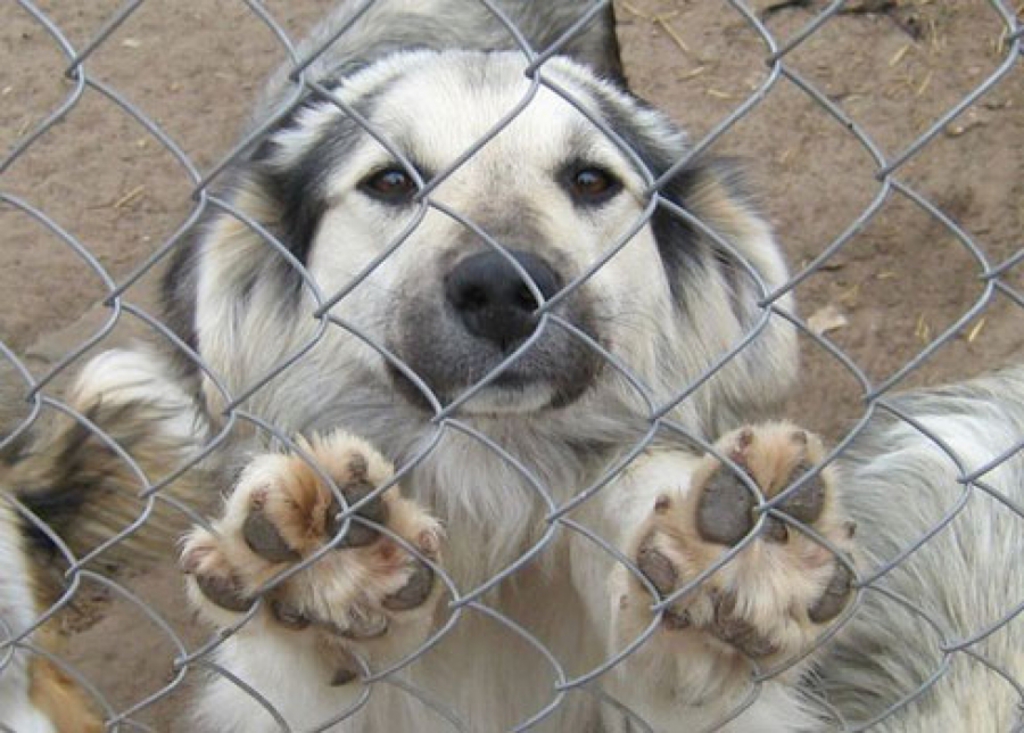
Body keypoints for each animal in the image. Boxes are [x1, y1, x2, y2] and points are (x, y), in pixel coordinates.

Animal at [2, 1, 1024, 733]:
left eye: (589, 181)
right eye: (391, 183)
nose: (501, 287)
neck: (492, 496)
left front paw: (731, 553)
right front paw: (328, 564)